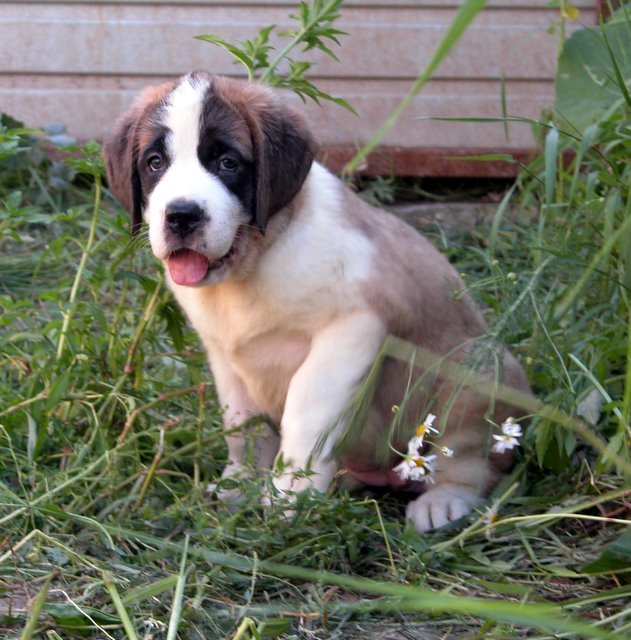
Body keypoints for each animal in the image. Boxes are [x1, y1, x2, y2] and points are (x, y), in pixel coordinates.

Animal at [104, 71, 532, 532]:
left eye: (227, 163)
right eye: (154, 163)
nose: (182, 215)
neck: (253, 263)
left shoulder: (354, 324)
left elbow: (306, 407)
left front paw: (292, 494)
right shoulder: (223, 355)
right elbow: (242, 422)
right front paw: (243, 482)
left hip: (472, 380)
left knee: (473, 462)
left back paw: (443, 502)